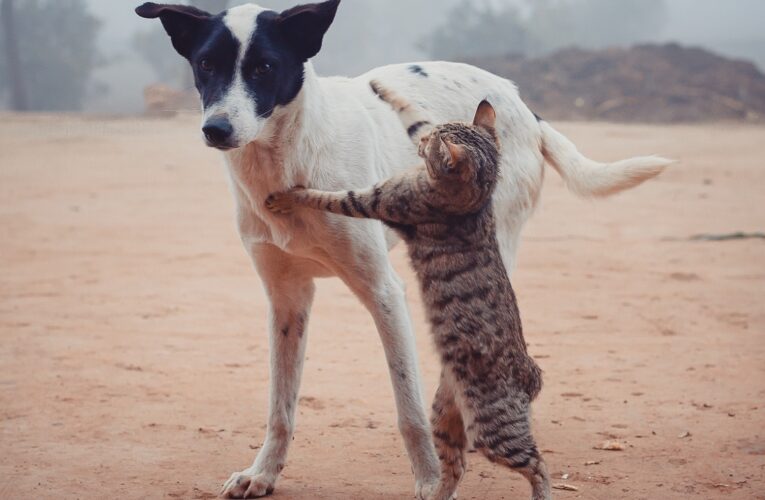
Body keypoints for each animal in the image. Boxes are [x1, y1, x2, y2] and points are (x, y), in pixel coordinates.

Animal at [264, 82, 548, 500]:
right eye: (432, 137)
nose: (425, 144)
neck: (476, 201)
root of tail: (531, 373)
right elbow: (412, 115)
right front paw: (384, 90)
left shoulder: (376, 200)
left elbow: (324, 196)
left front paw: (287, 196)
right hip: (445, 417)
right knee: (455, 466)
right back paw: (436, 493)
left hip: (493, 431)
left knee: (536, 463)